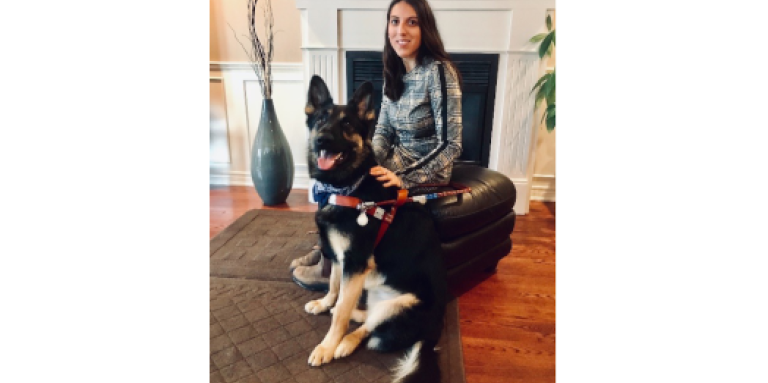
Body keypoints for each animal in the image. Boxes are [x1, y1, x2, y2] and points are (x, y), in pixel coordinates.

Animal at [304, 76, 448, 383]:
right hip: (372, 290)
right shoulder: (340, 259)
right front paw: (324, 303)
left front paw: (328, 345)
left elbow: (340, 312)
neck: (349, 186)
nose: (322, 139)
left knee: (370, 330)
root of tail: (433, 333)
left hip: (402, 304)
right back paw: (355, 313)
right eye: (321, 119)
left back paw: (345, 342)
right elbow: (334, 287)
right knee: (366, 315)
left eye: (347, 124)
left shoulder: (355, 263)